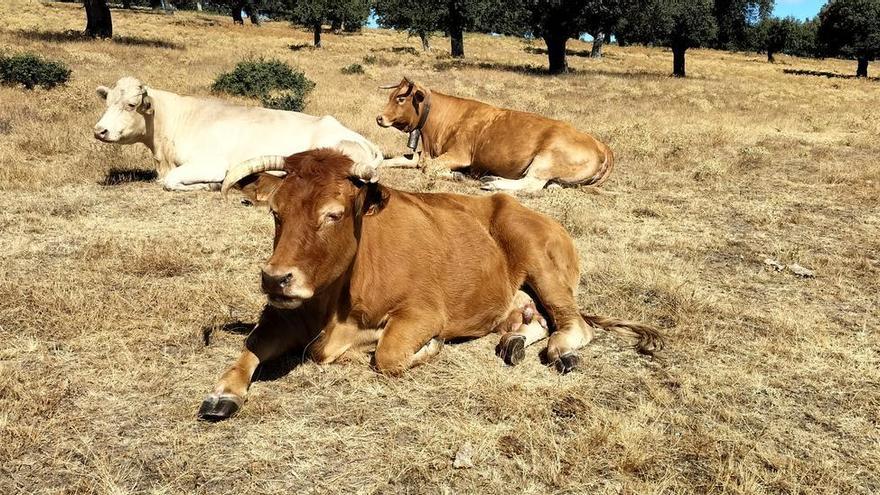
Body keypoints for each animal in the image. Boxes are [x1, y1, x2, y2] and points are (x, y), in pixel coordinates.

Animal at [93, 76, 382, 191]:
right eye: (107, 102)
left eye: (131, 105)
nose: (99, 130)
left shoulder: (212, 164)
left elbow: (171, 181)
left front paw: (209, 185)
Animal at [199, 148, 664, 422]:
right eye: (276, 212)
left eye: (333, 214)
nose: (276, 277)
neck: (332, 305)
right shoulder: (281, 315)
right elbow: (251, 347)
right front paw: (223, 392)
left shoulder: (422, 312)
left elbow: (387, 355)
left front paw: (421, 348)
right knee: (535, 320)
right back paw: (514, 341)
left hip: (540, 260)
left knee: (573, 325)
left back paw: (561, 350)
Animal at [374, 78, 616, 194]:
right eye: (391, 95)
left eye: (401, 99)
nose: (379, 118)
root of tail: (601, 145)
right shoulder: (426, 153)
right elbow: (396, 159)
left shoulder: (460, 154)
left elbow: (429, 168)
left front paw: (458, 175)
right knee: (551, 186)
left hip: (545, 159)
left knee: (532, 184)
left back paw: (492, 183)